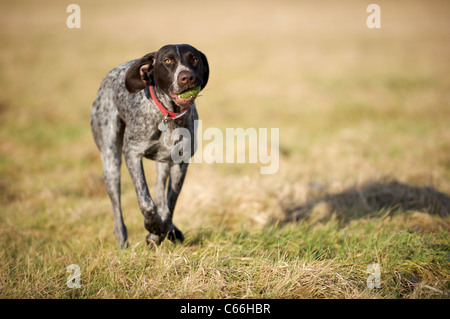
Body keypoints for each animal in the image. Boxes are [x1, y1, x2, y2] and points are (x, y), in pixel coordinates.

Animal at [92, 44, 211, 250]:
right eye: (168, 61)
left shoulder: (180, 163)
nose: (187, 77)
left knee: (160, 197)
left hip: (163, 164)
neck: (169, 115)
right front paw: (153, 227)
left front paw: (160, 233)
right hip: (111, 162)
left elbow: (170, 204)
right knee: (117, 206)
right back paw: (122, 241)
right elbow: (146, 201)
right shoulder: (132, 153)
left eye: (194, 59)